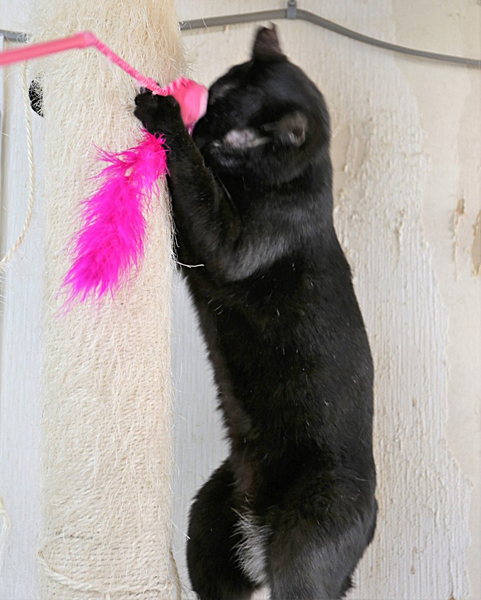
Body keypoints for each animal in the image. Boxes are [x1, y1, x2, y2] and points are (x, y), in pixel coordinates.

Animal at [140, 24, 377, 600]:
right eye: (214, 97)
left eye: (234, 139)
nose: (200, 131)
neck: (291, 181)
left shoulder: (228, 243)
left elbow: (197, 187)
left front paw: (162, 117)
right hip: (209, 521)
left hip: (305, 545)